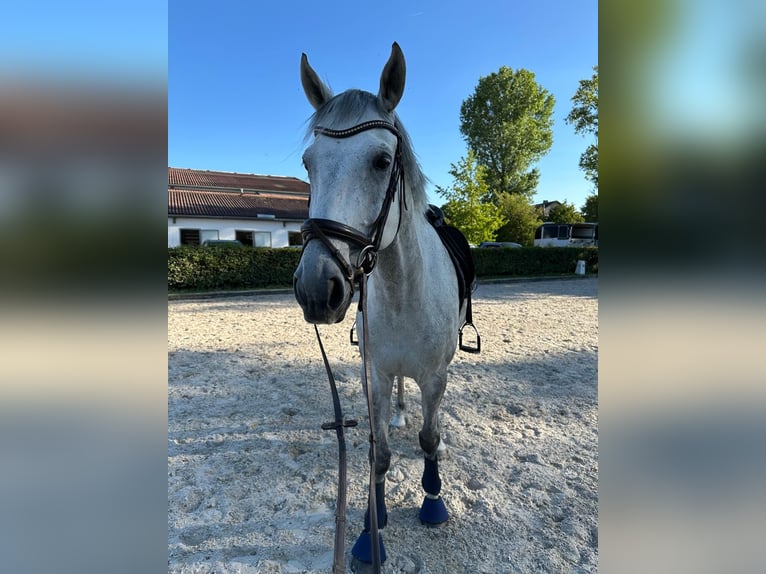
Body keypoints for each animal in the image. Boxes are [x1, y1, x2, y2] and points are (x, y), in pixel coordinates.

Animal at [293, 42, 472, 568]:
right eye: (309, 163)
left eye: (380, 160)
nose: (317, 288)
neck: (402, 290)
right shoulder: (373, 371)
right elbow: (379, 454)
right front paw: (372, 529)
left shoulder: (435, 375)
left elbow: (428, 438)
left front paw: (432, 501)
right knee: (399, 392)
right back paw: (399, 411)